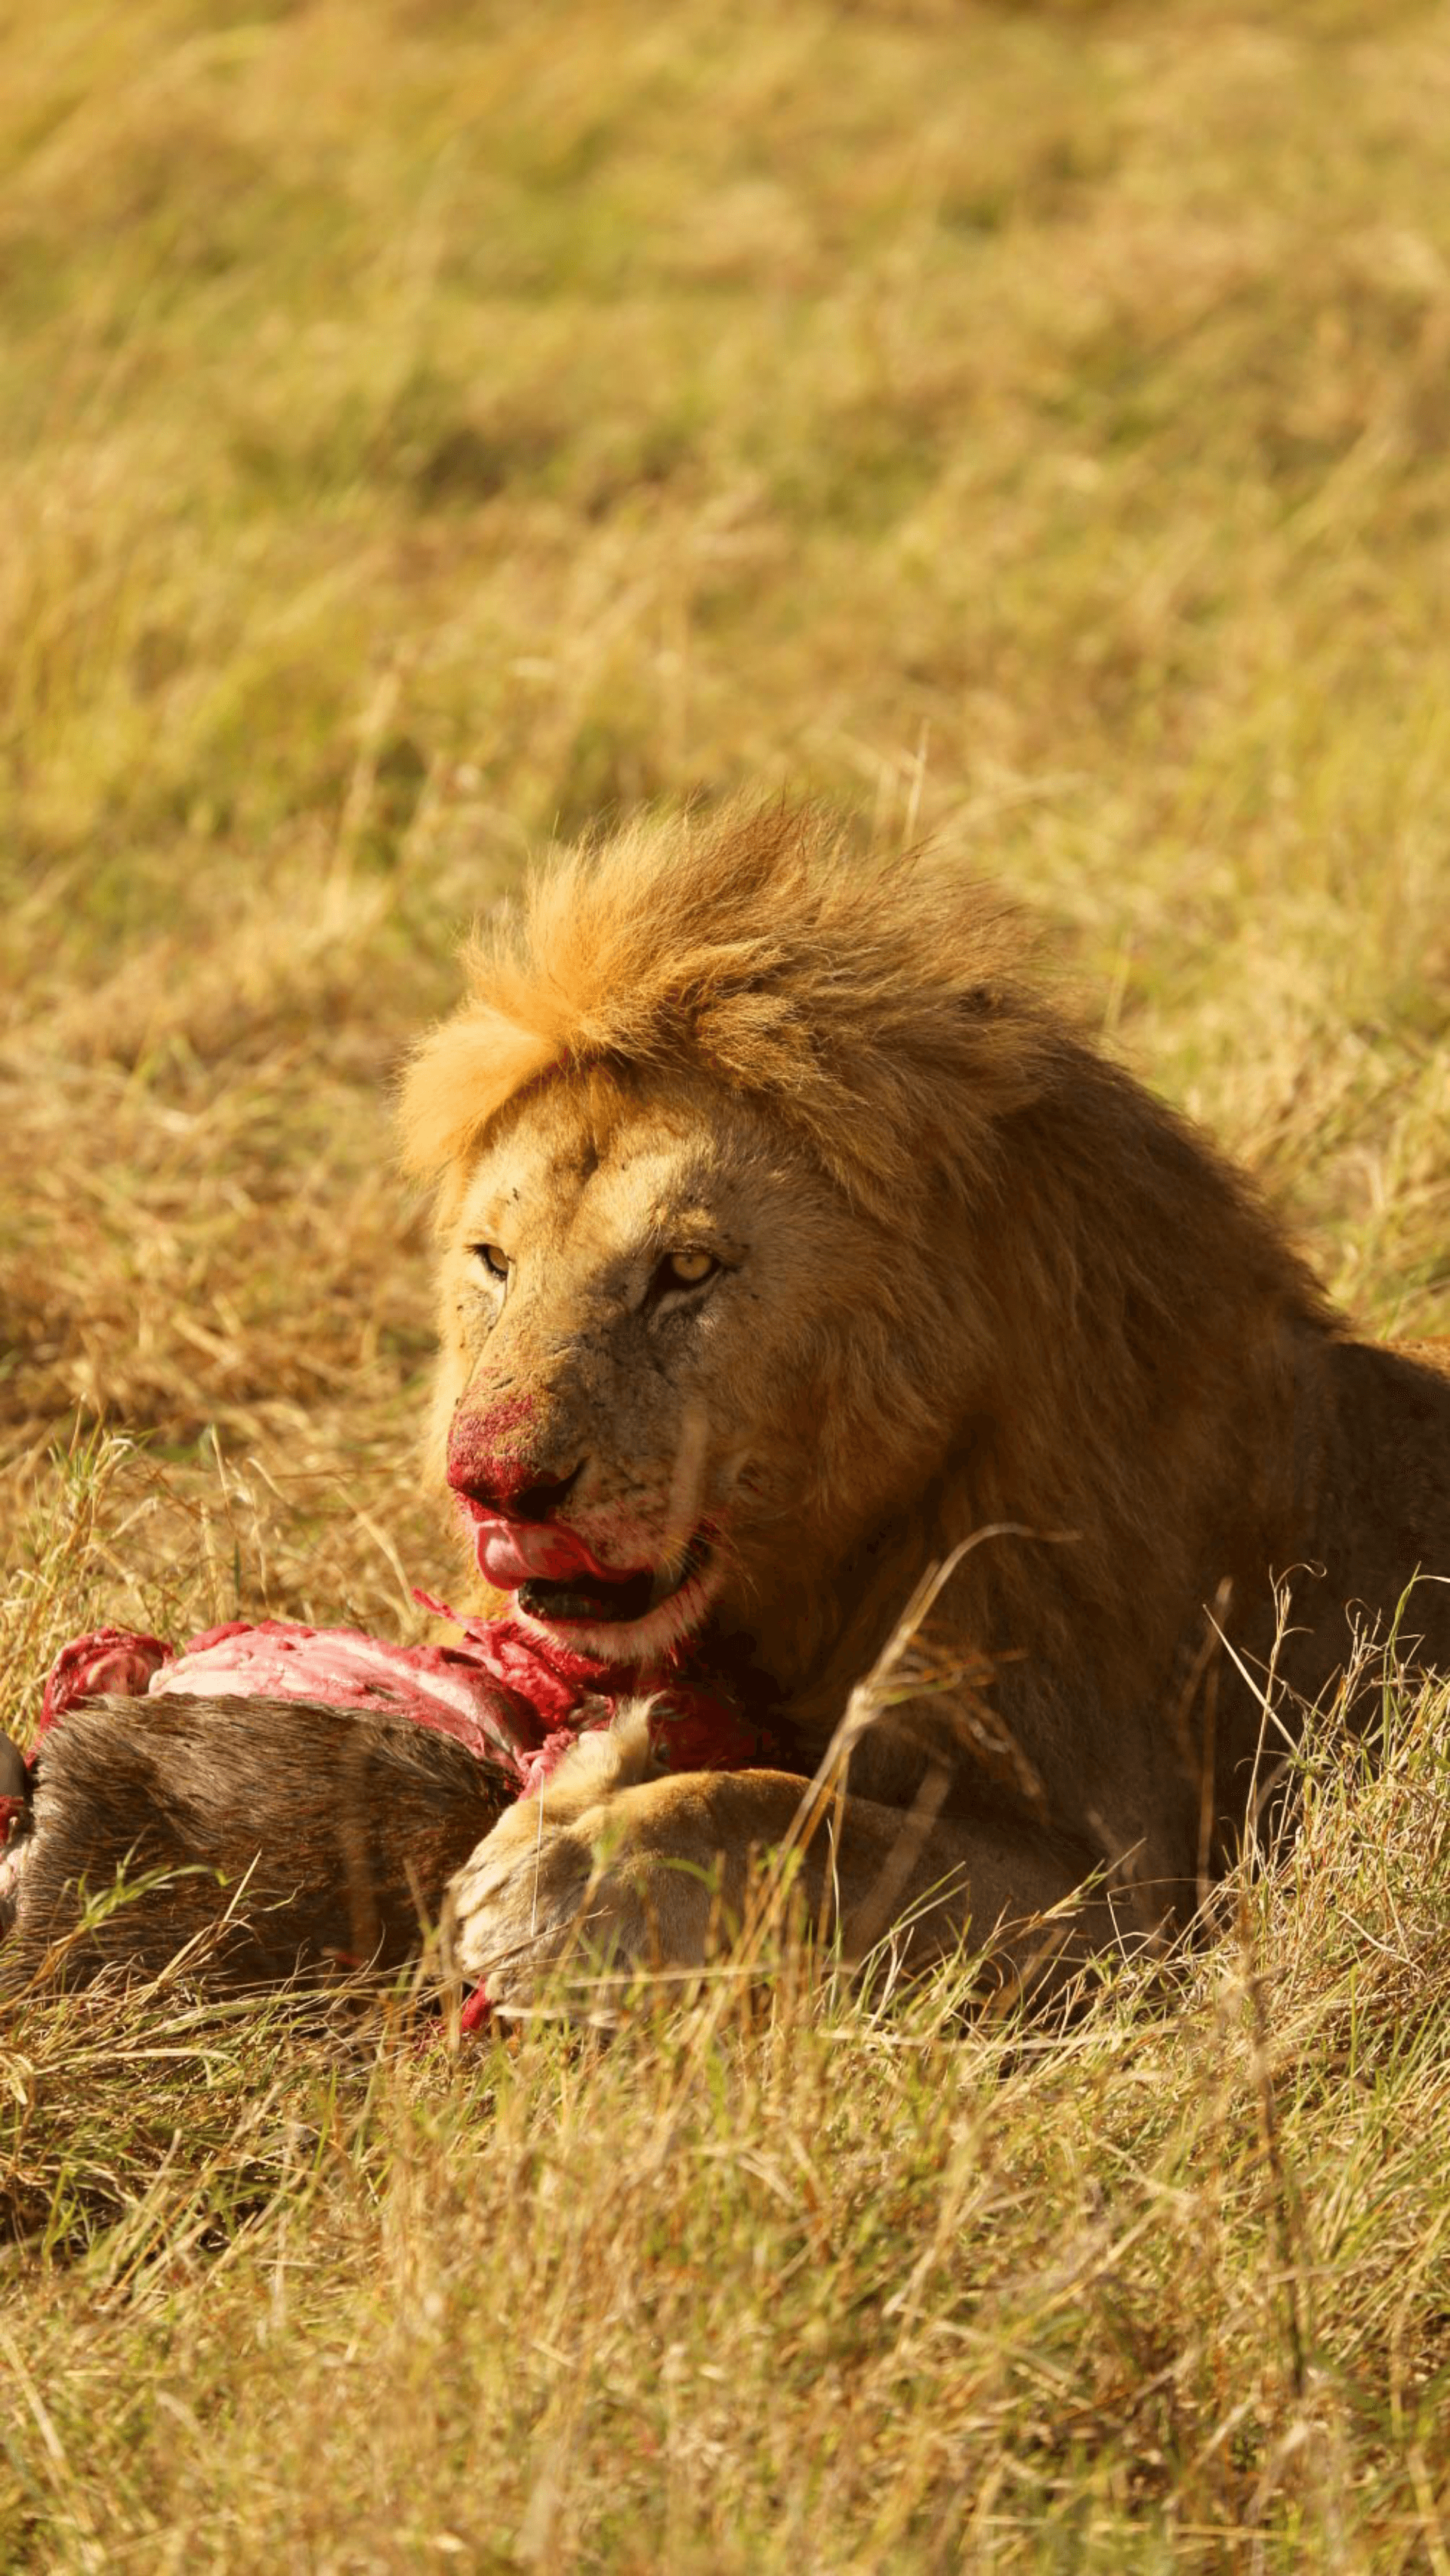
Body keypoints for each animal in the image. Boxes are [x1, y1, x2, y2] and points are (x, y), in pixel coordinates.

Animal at [399, 802, 1450, 2010]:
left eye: (687, 1268)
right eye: (494, 1261)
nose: (491, 1484)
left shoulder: (1131, 1908)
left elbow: (784, 1813)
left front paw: (557, 1870)